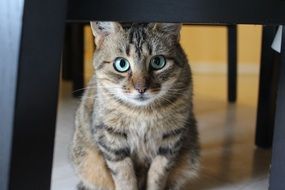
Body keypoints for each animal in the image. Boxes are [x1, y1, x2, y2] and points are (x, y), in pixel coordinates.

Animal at [70, 21, 199, 189]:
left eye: (158, 62)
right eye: (121, 64)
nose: (141, 88)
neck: (142, 112)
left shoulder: (172, 138)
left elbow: (158, 174)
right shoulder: (111, 139)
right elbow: (124, 176)